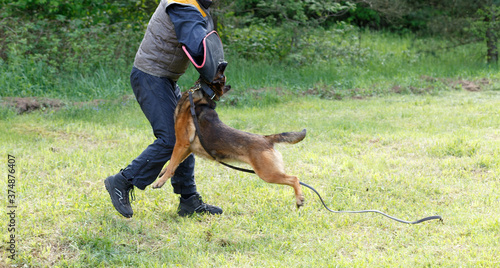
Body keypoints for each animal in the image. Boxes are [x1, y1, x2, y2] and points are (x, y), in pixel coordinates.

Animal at [152, 62, 306, 207]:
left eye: (221, 73)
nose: (224, 62)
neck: (200, 96)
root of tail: (267, 139)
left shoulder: (181, 143)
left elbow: (172, 164)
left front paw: (160, 181)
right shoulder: (188, 147)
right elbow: (174, 163)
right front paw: (163, 171)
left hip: (267, 173)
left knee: (295, 178)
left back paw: (299, 199)